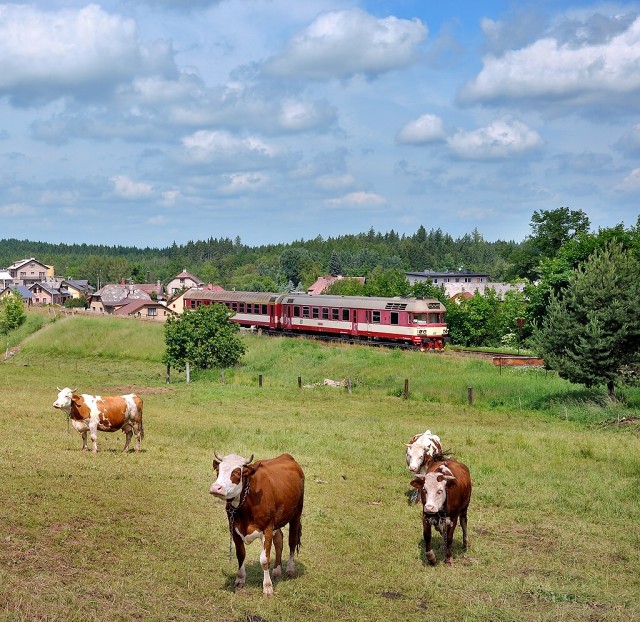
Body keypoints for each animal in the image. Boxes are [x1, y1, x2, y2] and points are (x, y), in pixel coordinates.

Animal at [210, 454, 304, 600]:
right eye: (218, 470)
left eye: (236, 472)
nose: (216, 488)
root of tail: (286, 456)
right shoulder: (234, 529)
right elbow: (240, 554)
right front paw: (240, 579)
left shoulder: (267, 529)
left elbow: (264, 560)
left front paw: (267, 587)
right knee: (279, 539)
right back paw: (277, 570)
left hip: (296, 513)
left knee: (292, 541)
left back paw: (290, 569)